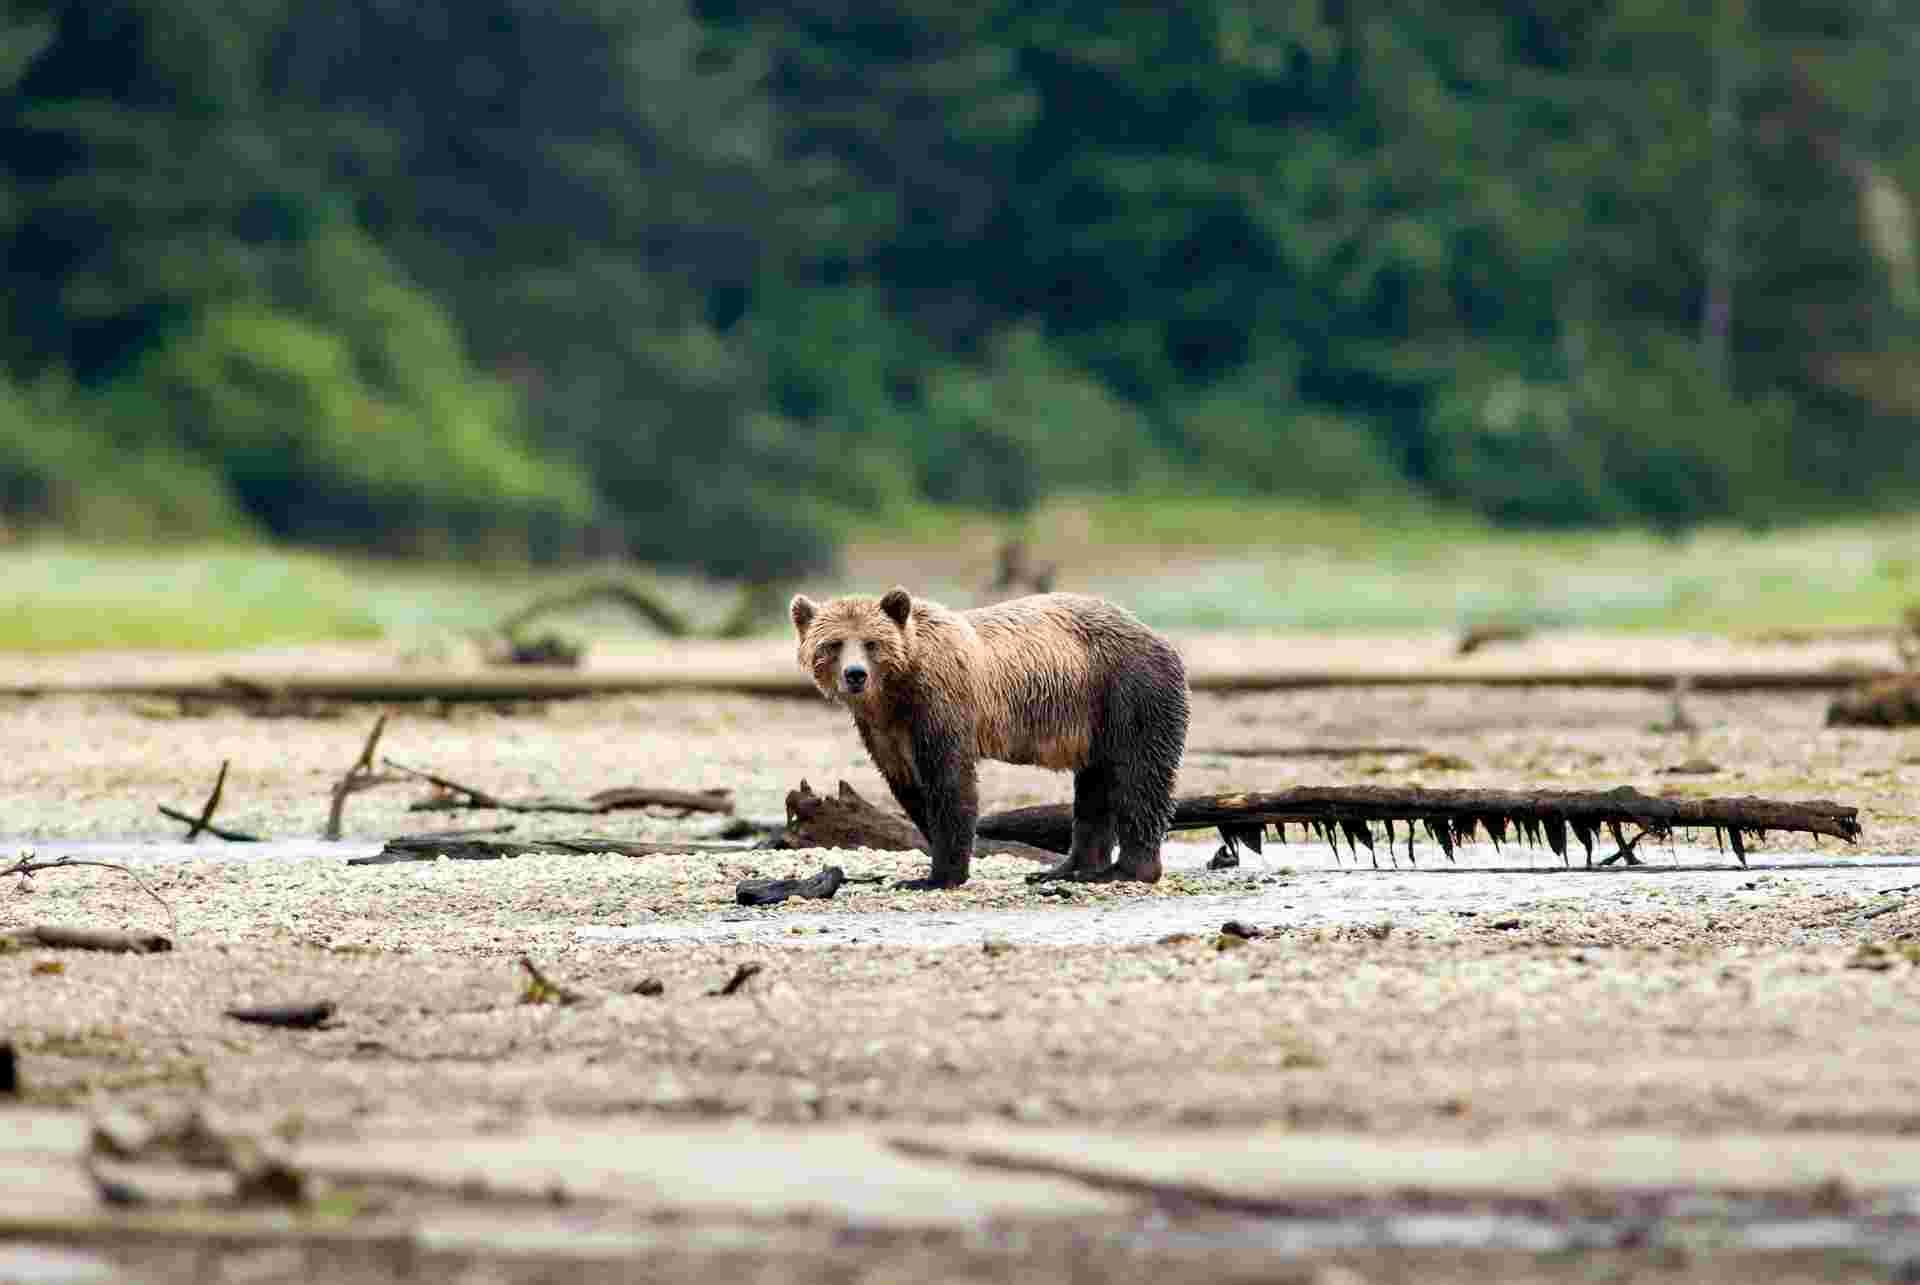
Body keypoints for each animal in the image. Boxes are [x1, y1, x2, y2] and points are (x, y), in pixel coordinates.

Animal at [789, 587, 1189, 890]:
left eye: (872, 643)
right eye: (833, 644)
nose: (855, 675)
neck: (894, 693)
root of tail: (1160, 638)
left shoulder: (940, 704)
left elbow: (950, 783)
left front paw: (937, 877)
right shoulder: (884, 731)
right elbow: (910, 787)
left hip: (1128, 690)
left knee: (1139, 776)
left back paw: (1126, 870)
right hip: (1095, 722)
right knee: (1095, 785)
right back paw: (1069, 869)